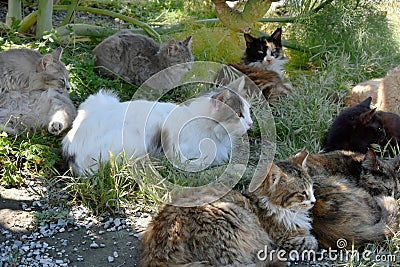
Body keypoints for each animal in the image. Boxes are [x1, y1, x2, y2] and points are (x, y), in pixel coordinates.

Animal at [62, 76, 253, 175]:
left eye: (249, 111)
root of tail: (69, 145)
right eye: (239, 115)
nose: (250, 123)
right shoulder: (180, 153)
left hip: (100, 98)